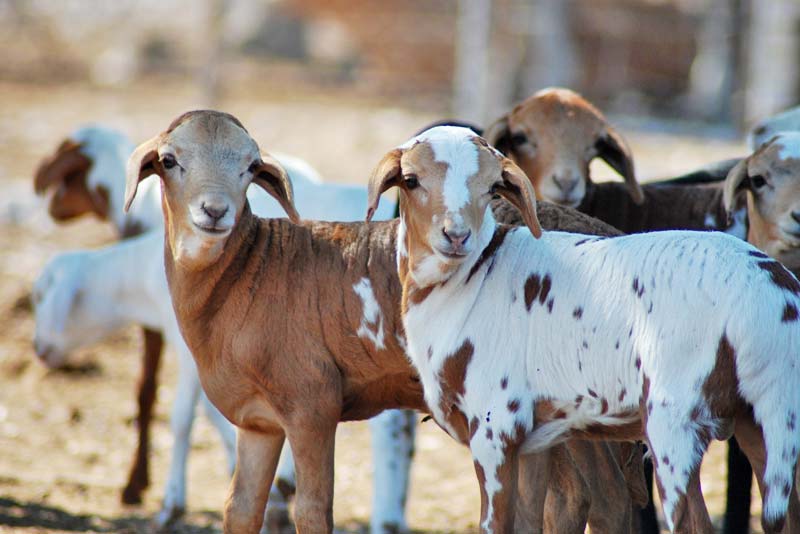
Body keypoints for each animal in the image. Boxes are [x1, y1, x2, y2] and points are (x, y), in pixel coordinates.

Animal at [370, 124, 800, 534]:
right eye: (411, 180)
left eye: (492, 187)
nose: (457, 236)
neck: (474, 278)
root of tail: (774, 290)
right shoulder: (533, 443)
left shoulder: (496, 427)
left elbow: (495, 524)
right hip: (765, 419)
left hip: (676, 421)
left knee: (693, 523)